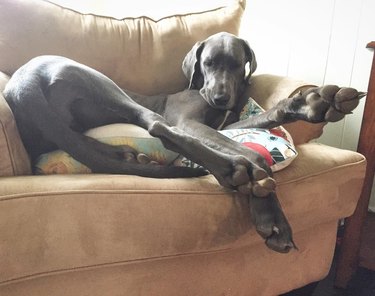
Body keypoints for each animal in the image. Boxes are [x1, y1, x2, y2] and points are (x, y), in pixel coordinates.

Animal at [2, 33, 364, 254]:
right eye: (208, 63)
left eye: (236, 65)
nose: (220, 97)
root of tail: (22, 84)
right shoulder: (191, 122)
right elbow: (251, 154)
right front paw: (270, 215)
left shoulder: (225, 124)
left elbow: (261, 118)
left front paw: (311, 103)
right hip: (98, 81)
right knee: (158, 126)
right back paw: (231, 170)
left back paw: (130, 157)